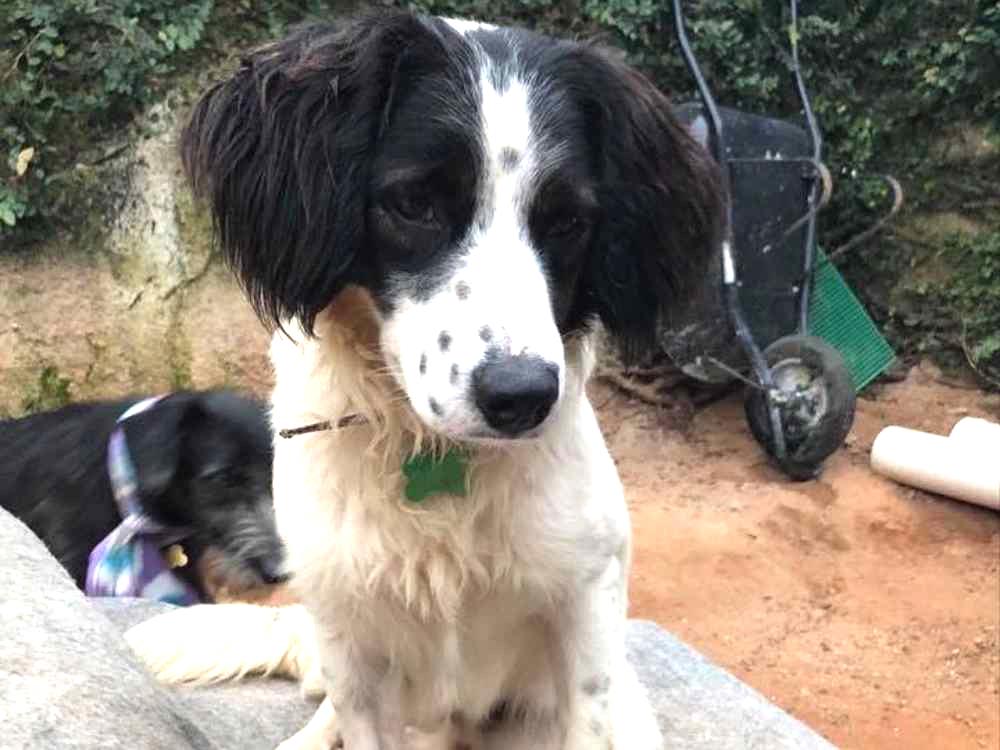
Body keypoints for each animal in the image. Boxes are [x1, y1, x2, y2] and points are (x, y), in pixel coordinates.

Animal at [126, 10, 721, 749]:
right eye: (414, 203)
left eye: (567, 221)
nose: (522, 398)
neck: (433, 456)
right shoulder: (350, 636)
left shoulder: (587, 611)